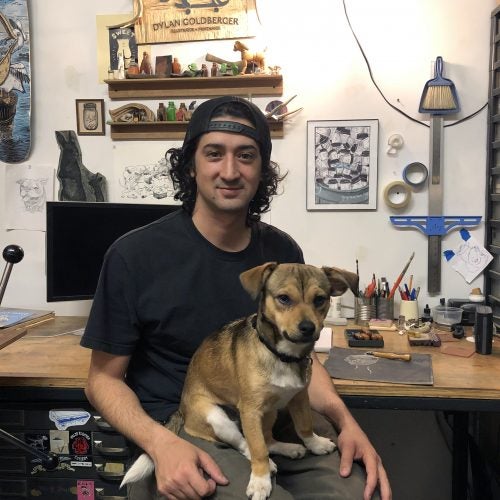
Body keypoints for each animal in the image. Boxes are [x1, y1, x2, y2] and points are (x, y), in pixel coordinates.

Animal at [121, 262, 358, 499]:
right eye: (284, 298)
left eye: (320, 299)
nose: (308, 328)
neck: (282, 355)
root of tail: (182, 410)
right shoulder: (251, 411)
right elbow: (258, 448)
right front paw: (261, 481)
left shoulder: (299, 397)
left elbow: (304, 425)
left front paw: (315, 444)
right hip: (218, 418)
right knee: (246, 443)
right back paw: (268, 465)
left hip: (269, 412)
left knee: (267, 439)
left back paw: (288, 448)